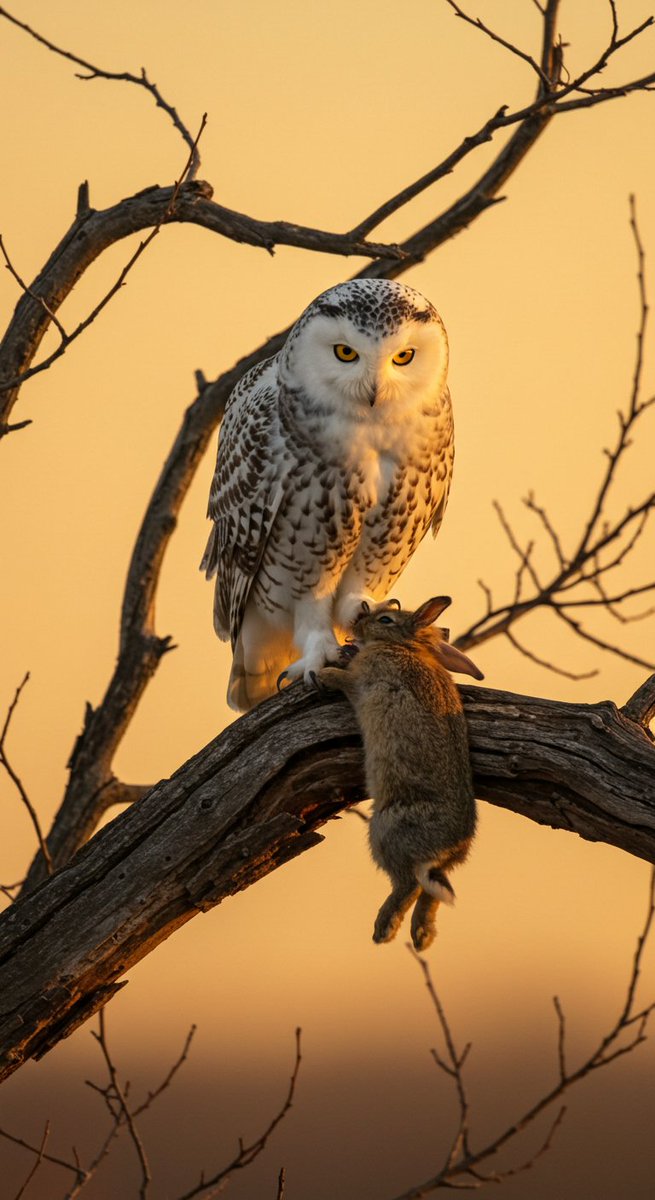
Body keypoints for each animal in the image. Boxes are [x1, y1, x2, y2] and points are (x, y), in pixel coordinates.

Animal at [316, 596, 483, 952]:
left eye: (386, 620)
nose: (358, 624)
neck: (402, 647)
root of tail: (449, 846)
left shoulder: (363, 676)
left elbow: (346, 679)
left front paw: (324, 674)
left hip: (386, 832)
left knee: (408, 884)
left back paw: (384, 929)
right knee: (430, 893)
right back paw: (422, 935)